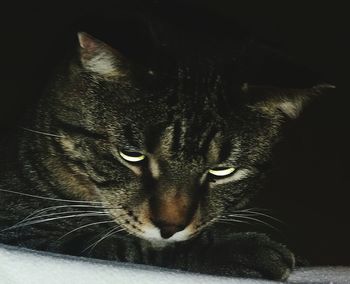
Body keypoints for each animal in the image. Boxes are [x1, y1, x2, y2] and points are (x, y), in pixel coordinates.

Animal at [0, 30, 334, 280]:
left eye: (221, 171)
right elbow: (129, 248)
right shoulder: (23, 232)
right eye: (131, 155)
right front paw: (243, 250)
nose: (170, 227)